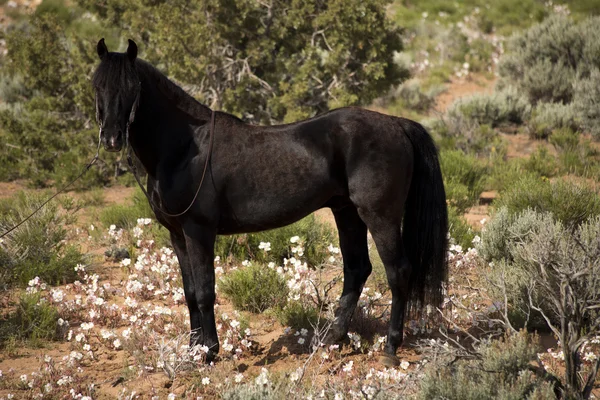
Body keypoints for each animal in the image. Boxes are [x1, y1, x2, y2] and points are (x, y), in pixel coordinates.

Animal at [92, 39, 446, 364]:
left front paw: (210, 353)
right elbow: (190, 293)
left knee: (398, 271)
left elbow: (205, 292)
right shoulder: (177, 234)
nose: (111, 139)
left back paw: (390, 348)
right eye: (97, 85)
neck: (184, 149)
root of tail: (397, 123)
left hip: (379, 215)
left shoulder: (199, 231)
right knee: (357, 269)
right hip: (347, 213)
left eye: (133, 87)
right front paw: (193, 351)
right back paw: (330, 340)